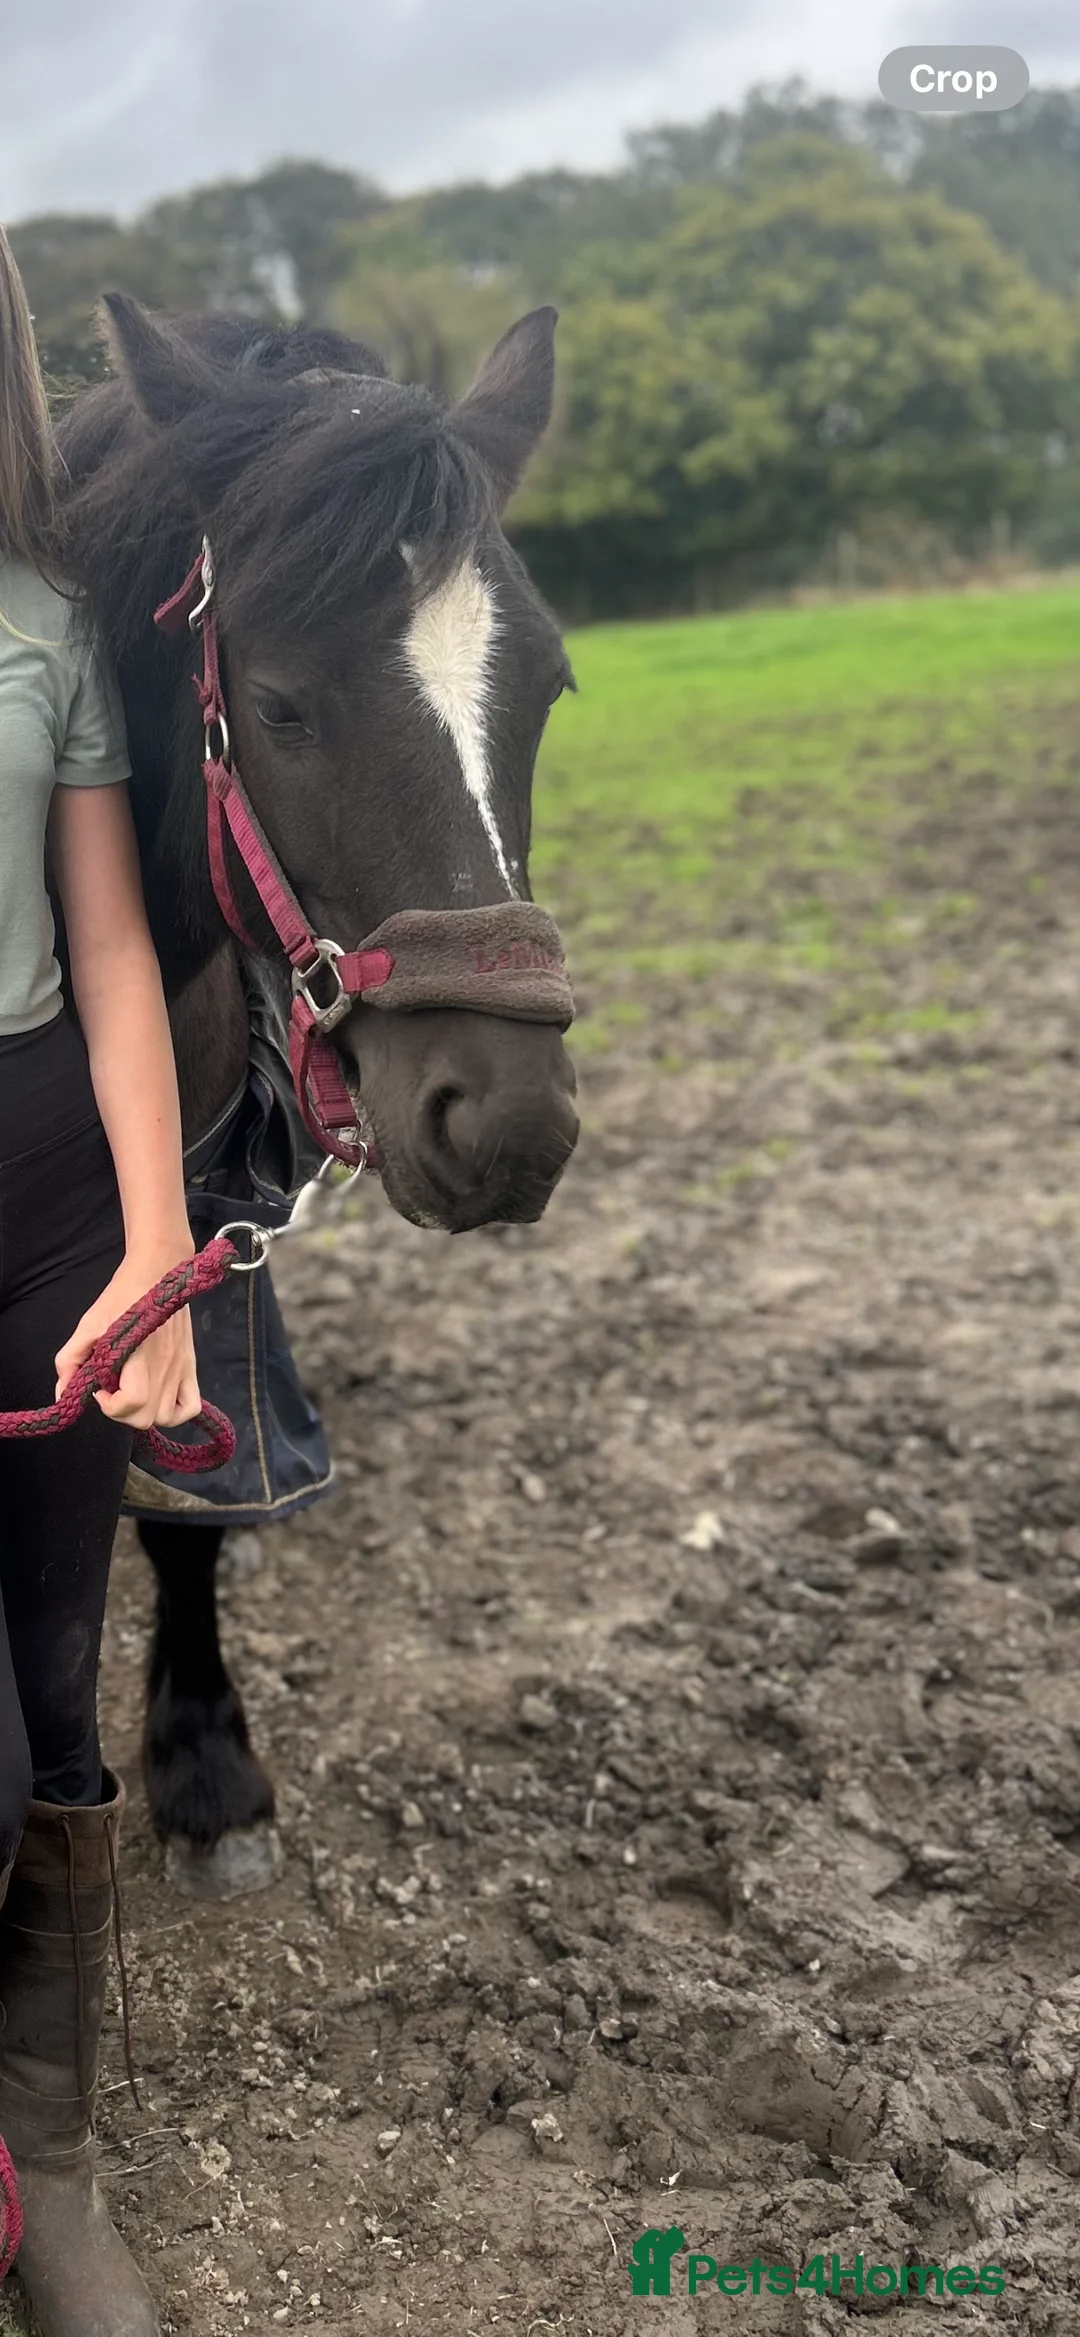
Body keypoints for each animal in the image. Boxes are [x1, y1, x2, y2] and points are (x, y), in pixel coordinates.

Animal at [54, 293, 580, 1894]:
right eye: (279, 705)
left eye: (548, 688)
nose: (510, 1120)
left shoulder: (195, 1232)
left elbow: (186, 1503)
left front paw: (205, 1766)